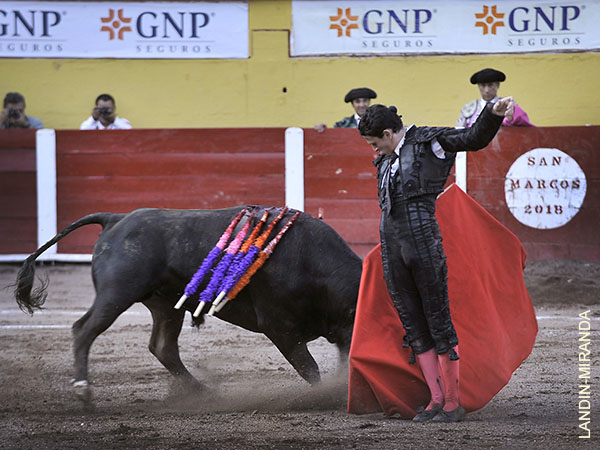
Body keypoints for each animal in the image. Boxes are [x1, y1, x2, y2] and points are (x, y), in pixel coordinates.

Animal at [14, 206, 363, 407]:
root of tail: (115, 219)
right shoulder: (280, 327)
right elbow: (309, 367)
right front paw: (325, 396)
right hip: (116, 294)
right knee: (84, 330)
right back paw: (83, 391)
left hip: (166, 305)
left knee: (163, 346)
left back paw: (202, 391)